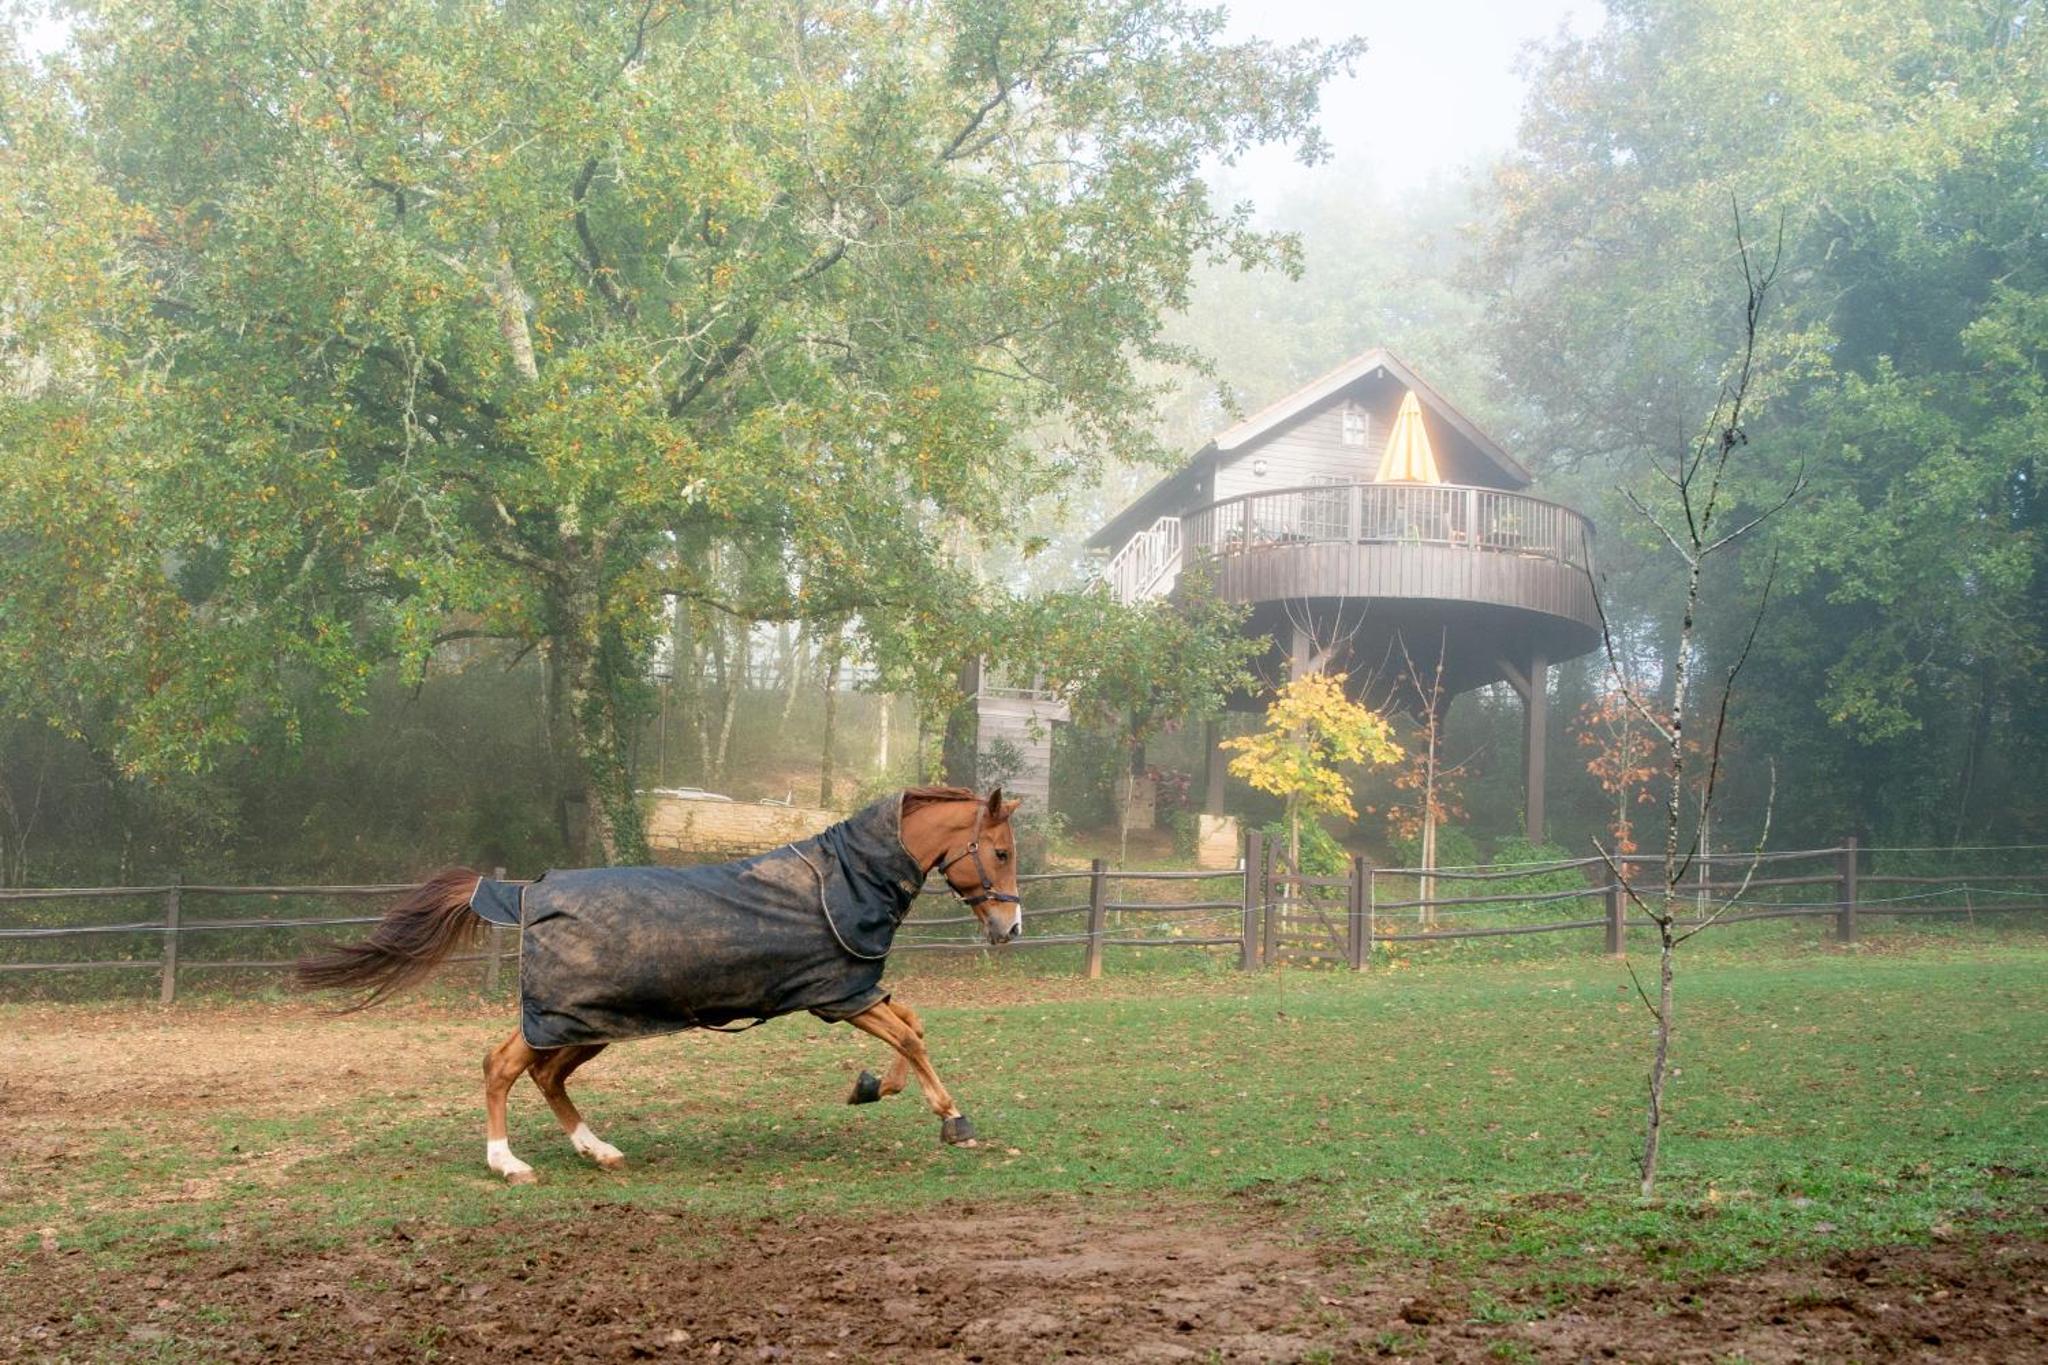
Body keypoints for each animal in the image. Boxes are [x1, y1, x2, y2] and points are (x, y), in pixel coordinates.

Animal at [292, 789, 1019, 1186]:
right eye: (1003, 851)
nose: (1010, 926)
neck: (845, 879)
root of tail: (524, 891)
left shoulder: (855, 992)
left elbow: (914, 1027)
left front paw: (871, 1086)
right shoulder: (838, 996)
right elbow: (912, 1036)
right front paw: (953, 1118)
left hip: (584, 1023)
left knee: (545, 1075)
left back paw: (597, 1149)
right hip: (563, 1016)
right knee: (502, 1066)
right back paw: (508, 1162)